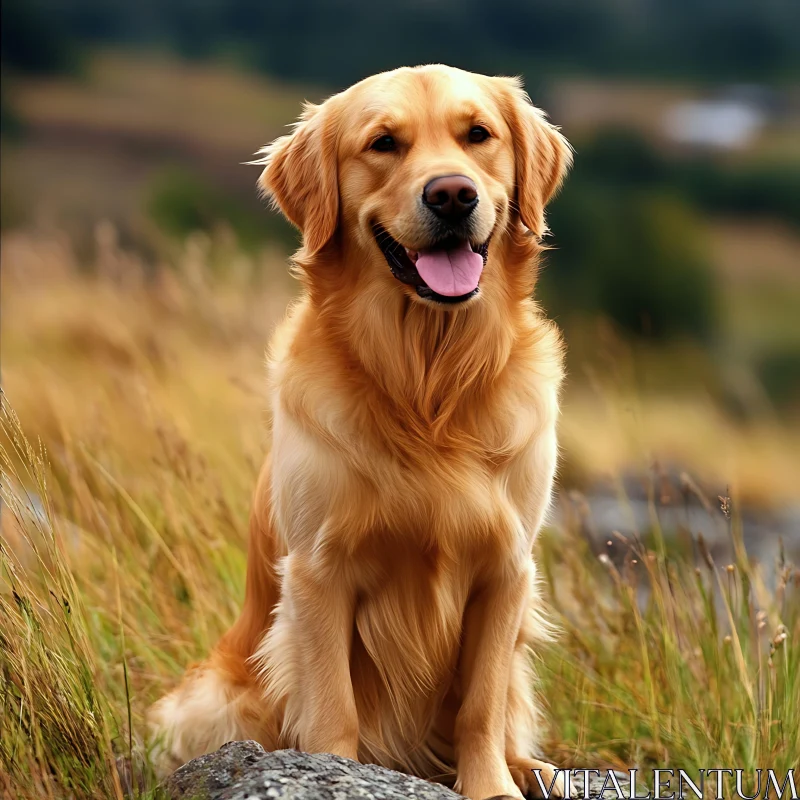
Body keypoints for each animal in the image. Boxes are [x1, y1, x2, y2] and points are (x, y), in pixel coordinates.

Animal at [150, 64, 572, 800]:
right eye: (383, 143)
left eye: (478, 135)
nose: (453, 194)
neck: (426, 382)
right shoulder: (320, 573)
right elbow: (331, 705)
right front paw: (333, 770)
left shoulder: (506, 571)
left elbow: (482, 703)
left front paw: (492, 783)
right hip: (212, 696)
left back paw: (532, 767)